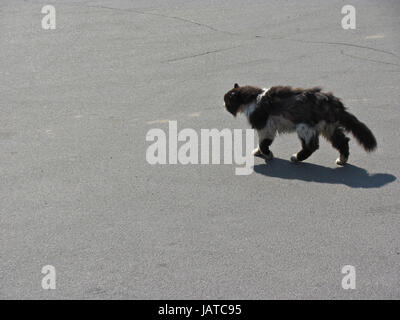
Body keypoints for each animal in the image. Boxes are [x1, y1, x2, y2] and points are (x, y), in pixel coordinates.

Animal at [223, 83, 376, 165]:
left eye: (226, 101)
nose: (222, 104)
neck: (253, 97)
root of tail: (332, 101)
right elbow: (260, 144)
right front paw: (258, 152)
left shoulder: (266, 128)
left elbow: (263, 143)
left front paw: (267, 154)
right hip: (328, 128)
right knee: (343, 141)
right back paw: (341, 160)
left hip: (304, 128)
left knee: (311, 147)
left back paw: (296, 157)